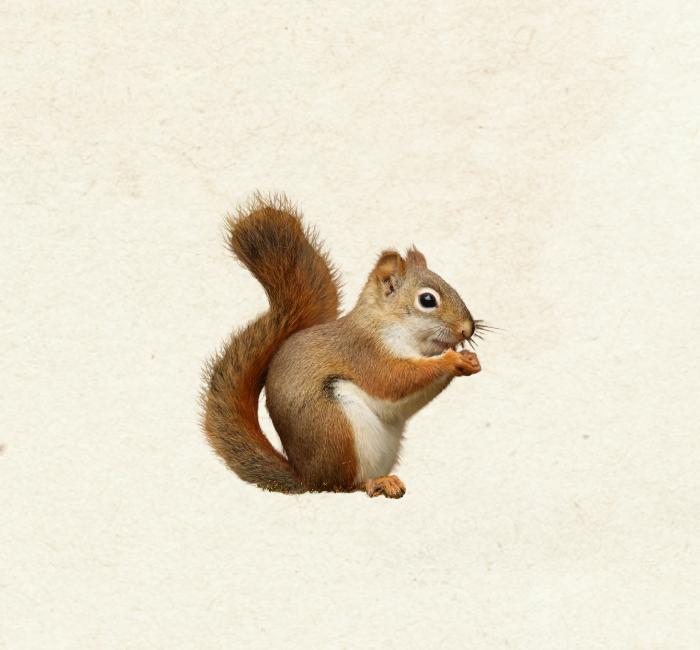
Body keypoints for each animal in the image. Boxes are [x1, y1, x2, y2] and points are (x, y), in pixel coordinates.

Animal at [201, 194, 485, 498]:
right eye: (428, 300)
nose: (468, 329)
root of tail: (307, 479)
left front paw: (470, 359)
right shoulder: (364, 353)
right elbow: (395, 380)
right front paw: (451, 360)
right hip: (337, 429)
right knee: (341, 486)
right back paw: (372, 483)